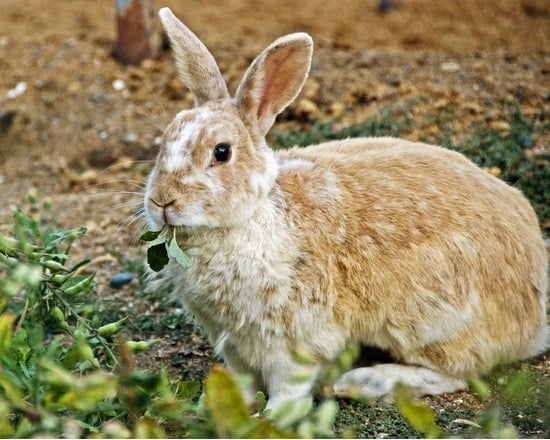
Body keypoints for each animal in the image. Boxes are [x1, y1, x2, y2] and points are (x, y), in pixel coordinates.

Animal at [144, 7, 548, 412]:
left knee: (459, 370)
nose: (162, 201)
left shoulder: (291, 340)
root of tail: (535, 313)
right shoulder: (234, 345)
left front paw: (271, 417)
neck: (255, 214)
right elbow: (240, 383)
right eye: (164, 141)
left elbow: (289, 386)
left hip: (432, 319)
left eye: (222, 152)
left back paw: (364, 381)